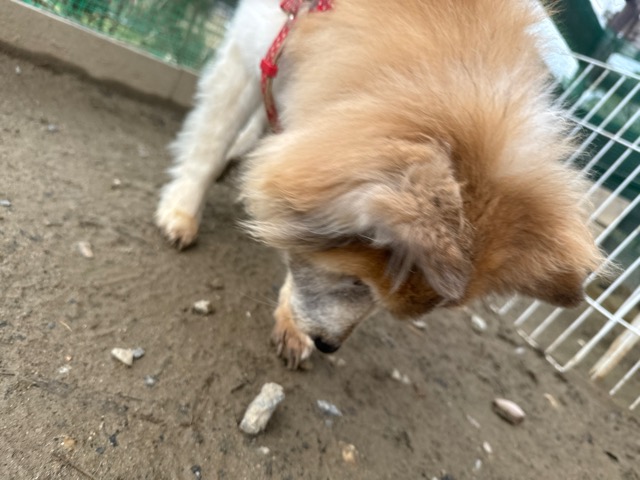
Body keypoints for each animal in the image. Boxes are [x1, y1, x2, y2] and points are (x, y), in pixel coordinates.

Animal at [156, 0, 604, 368]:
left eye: (370, 291)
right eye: (356, 281)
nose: (328, 346)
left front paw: (291, 324)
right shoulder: (253, 54)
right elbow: (211, 140)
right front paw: (183, 209)